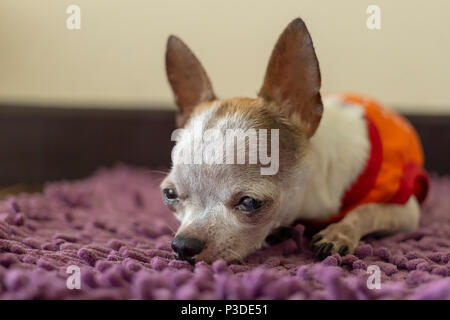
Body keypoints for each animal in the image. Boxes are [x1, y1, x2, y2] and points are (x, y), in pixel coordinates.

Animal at [161, 17, 428, 264]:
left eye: (250, 202)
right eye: (169, 195)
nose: (183, 245)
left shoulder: (406, 210)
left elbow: (365, 211)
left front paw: (339, 233)